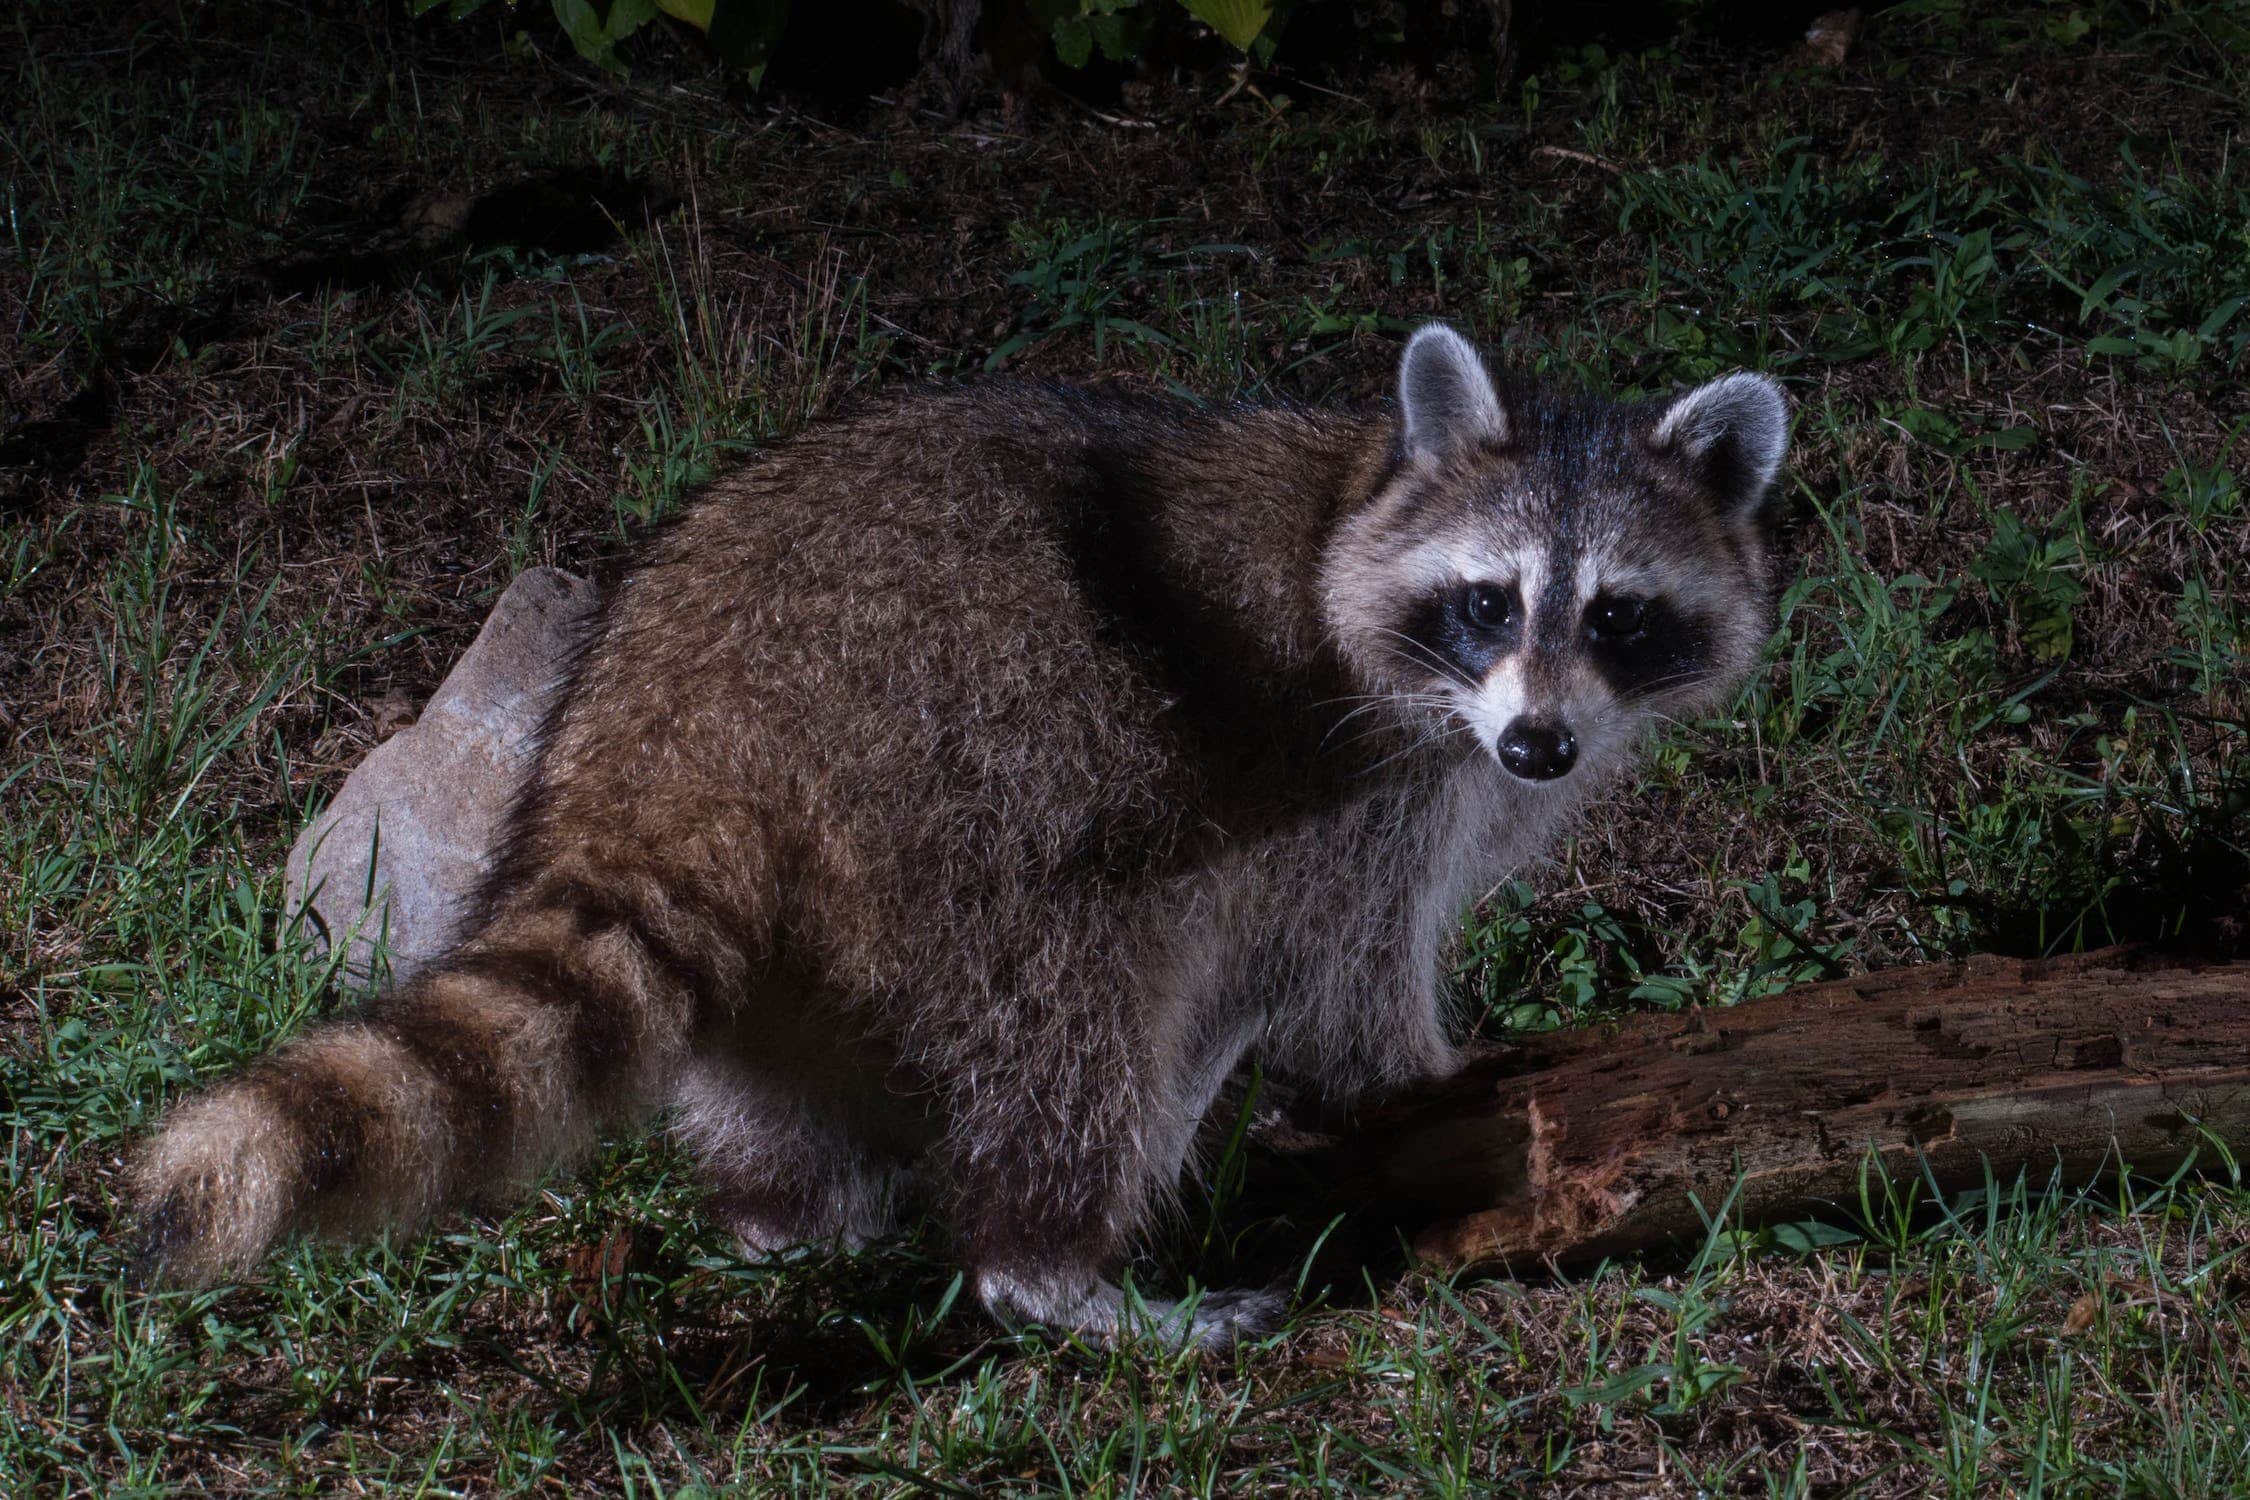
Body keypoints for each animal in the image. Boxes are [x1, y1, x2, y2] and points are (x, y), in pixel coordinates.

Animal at [136, 326, 1791, 1349]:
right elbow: (1337, 983)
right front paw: (1430, 1077)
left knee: (778, 1085)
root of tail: (682, 734)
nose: (1539, 747)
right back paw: (1052, 1270)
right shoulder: (1349, 772)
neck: (1361, 493)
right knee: (1085, 1001)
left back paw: (790, 1216)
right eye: (1488, 603)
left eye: (1617, 614)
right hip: (982, 772)